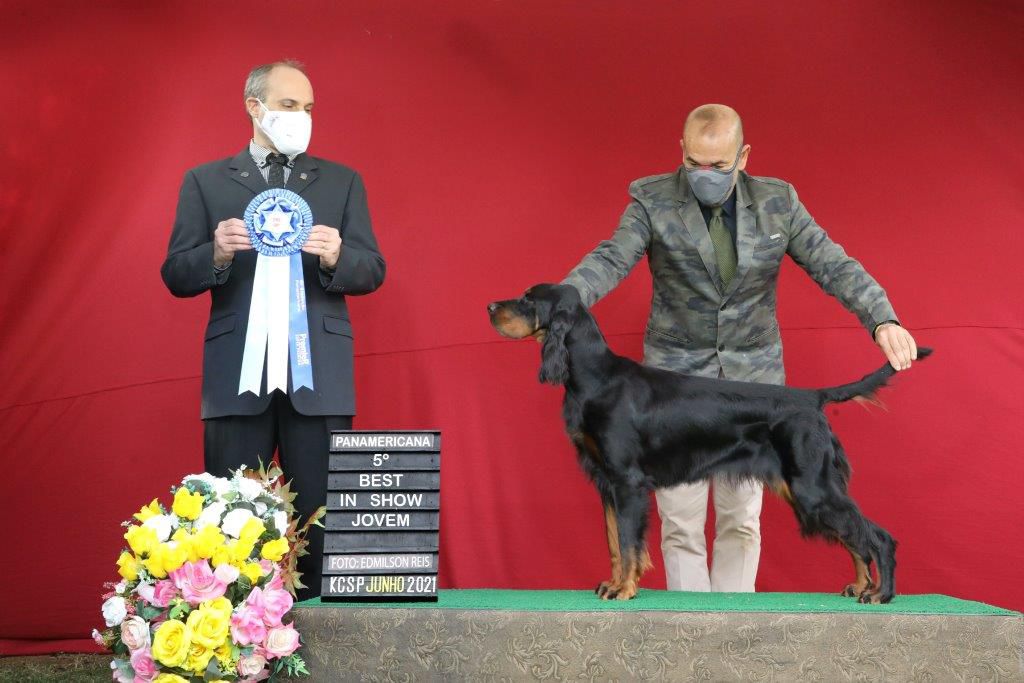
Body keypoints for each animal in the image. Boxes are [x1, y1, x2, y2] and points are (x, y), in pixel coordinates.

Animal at [485, 284, 929, 602]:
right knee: (855, 538)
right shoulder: (606, 484)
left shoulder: (627, 482)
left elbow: (628, 541)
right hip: (805, 489)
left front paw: (625, 589)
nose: (489, 306)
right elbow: (613, 540)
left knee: (877, 537)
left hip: (812, 486)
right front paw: (613, 583)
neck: (596, 377)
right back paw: (862, 585)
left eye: (527, 299)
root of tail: (812, 397)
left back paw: (882, 594)